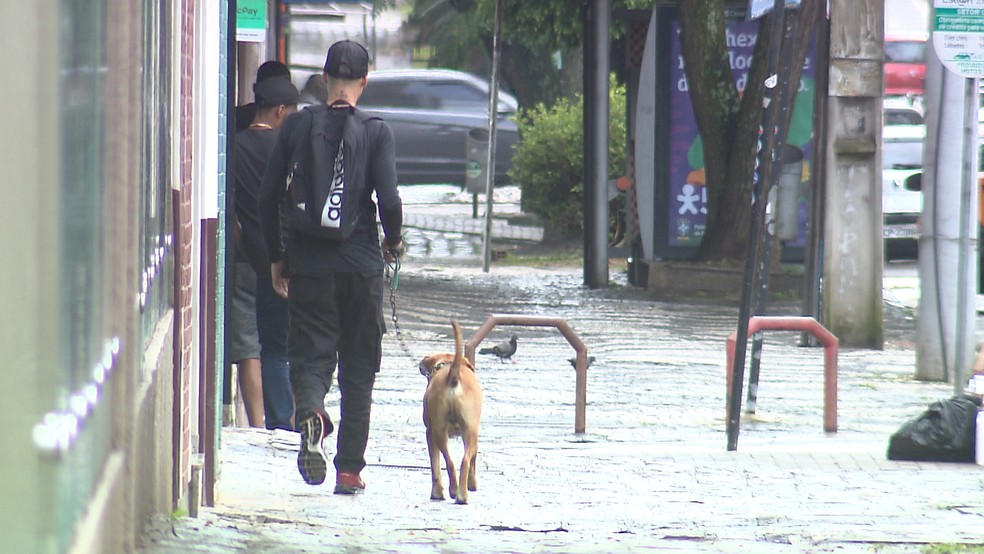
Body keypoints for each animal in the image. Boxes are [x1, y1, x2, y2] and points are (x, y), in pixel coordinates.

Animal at [418, 316, 484, 502]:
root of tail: (453, 375)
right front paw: (472, 483)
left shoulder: (429, 433)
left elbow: (435, 466)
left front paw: (436, 491)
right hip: (469, 431)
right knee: (464, 461)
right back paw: (461, 494)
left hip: (440, 431)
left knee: (450, 462)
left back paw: (449, 491)